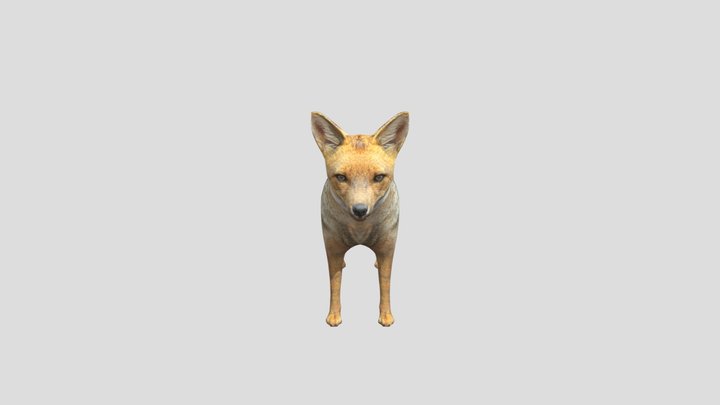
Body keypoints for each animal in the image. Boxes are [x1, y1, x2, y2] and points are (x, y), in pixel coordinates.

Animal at [311, 111, 409, 327]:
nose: (360, 210)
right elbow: (335, 285)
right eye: (341, 177)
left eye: (379, 177)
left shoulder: (387, 248)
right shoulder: (332, 248)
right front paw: (334, 316)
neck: (360, 232)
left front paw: (386, 316)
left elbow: (385, 284)